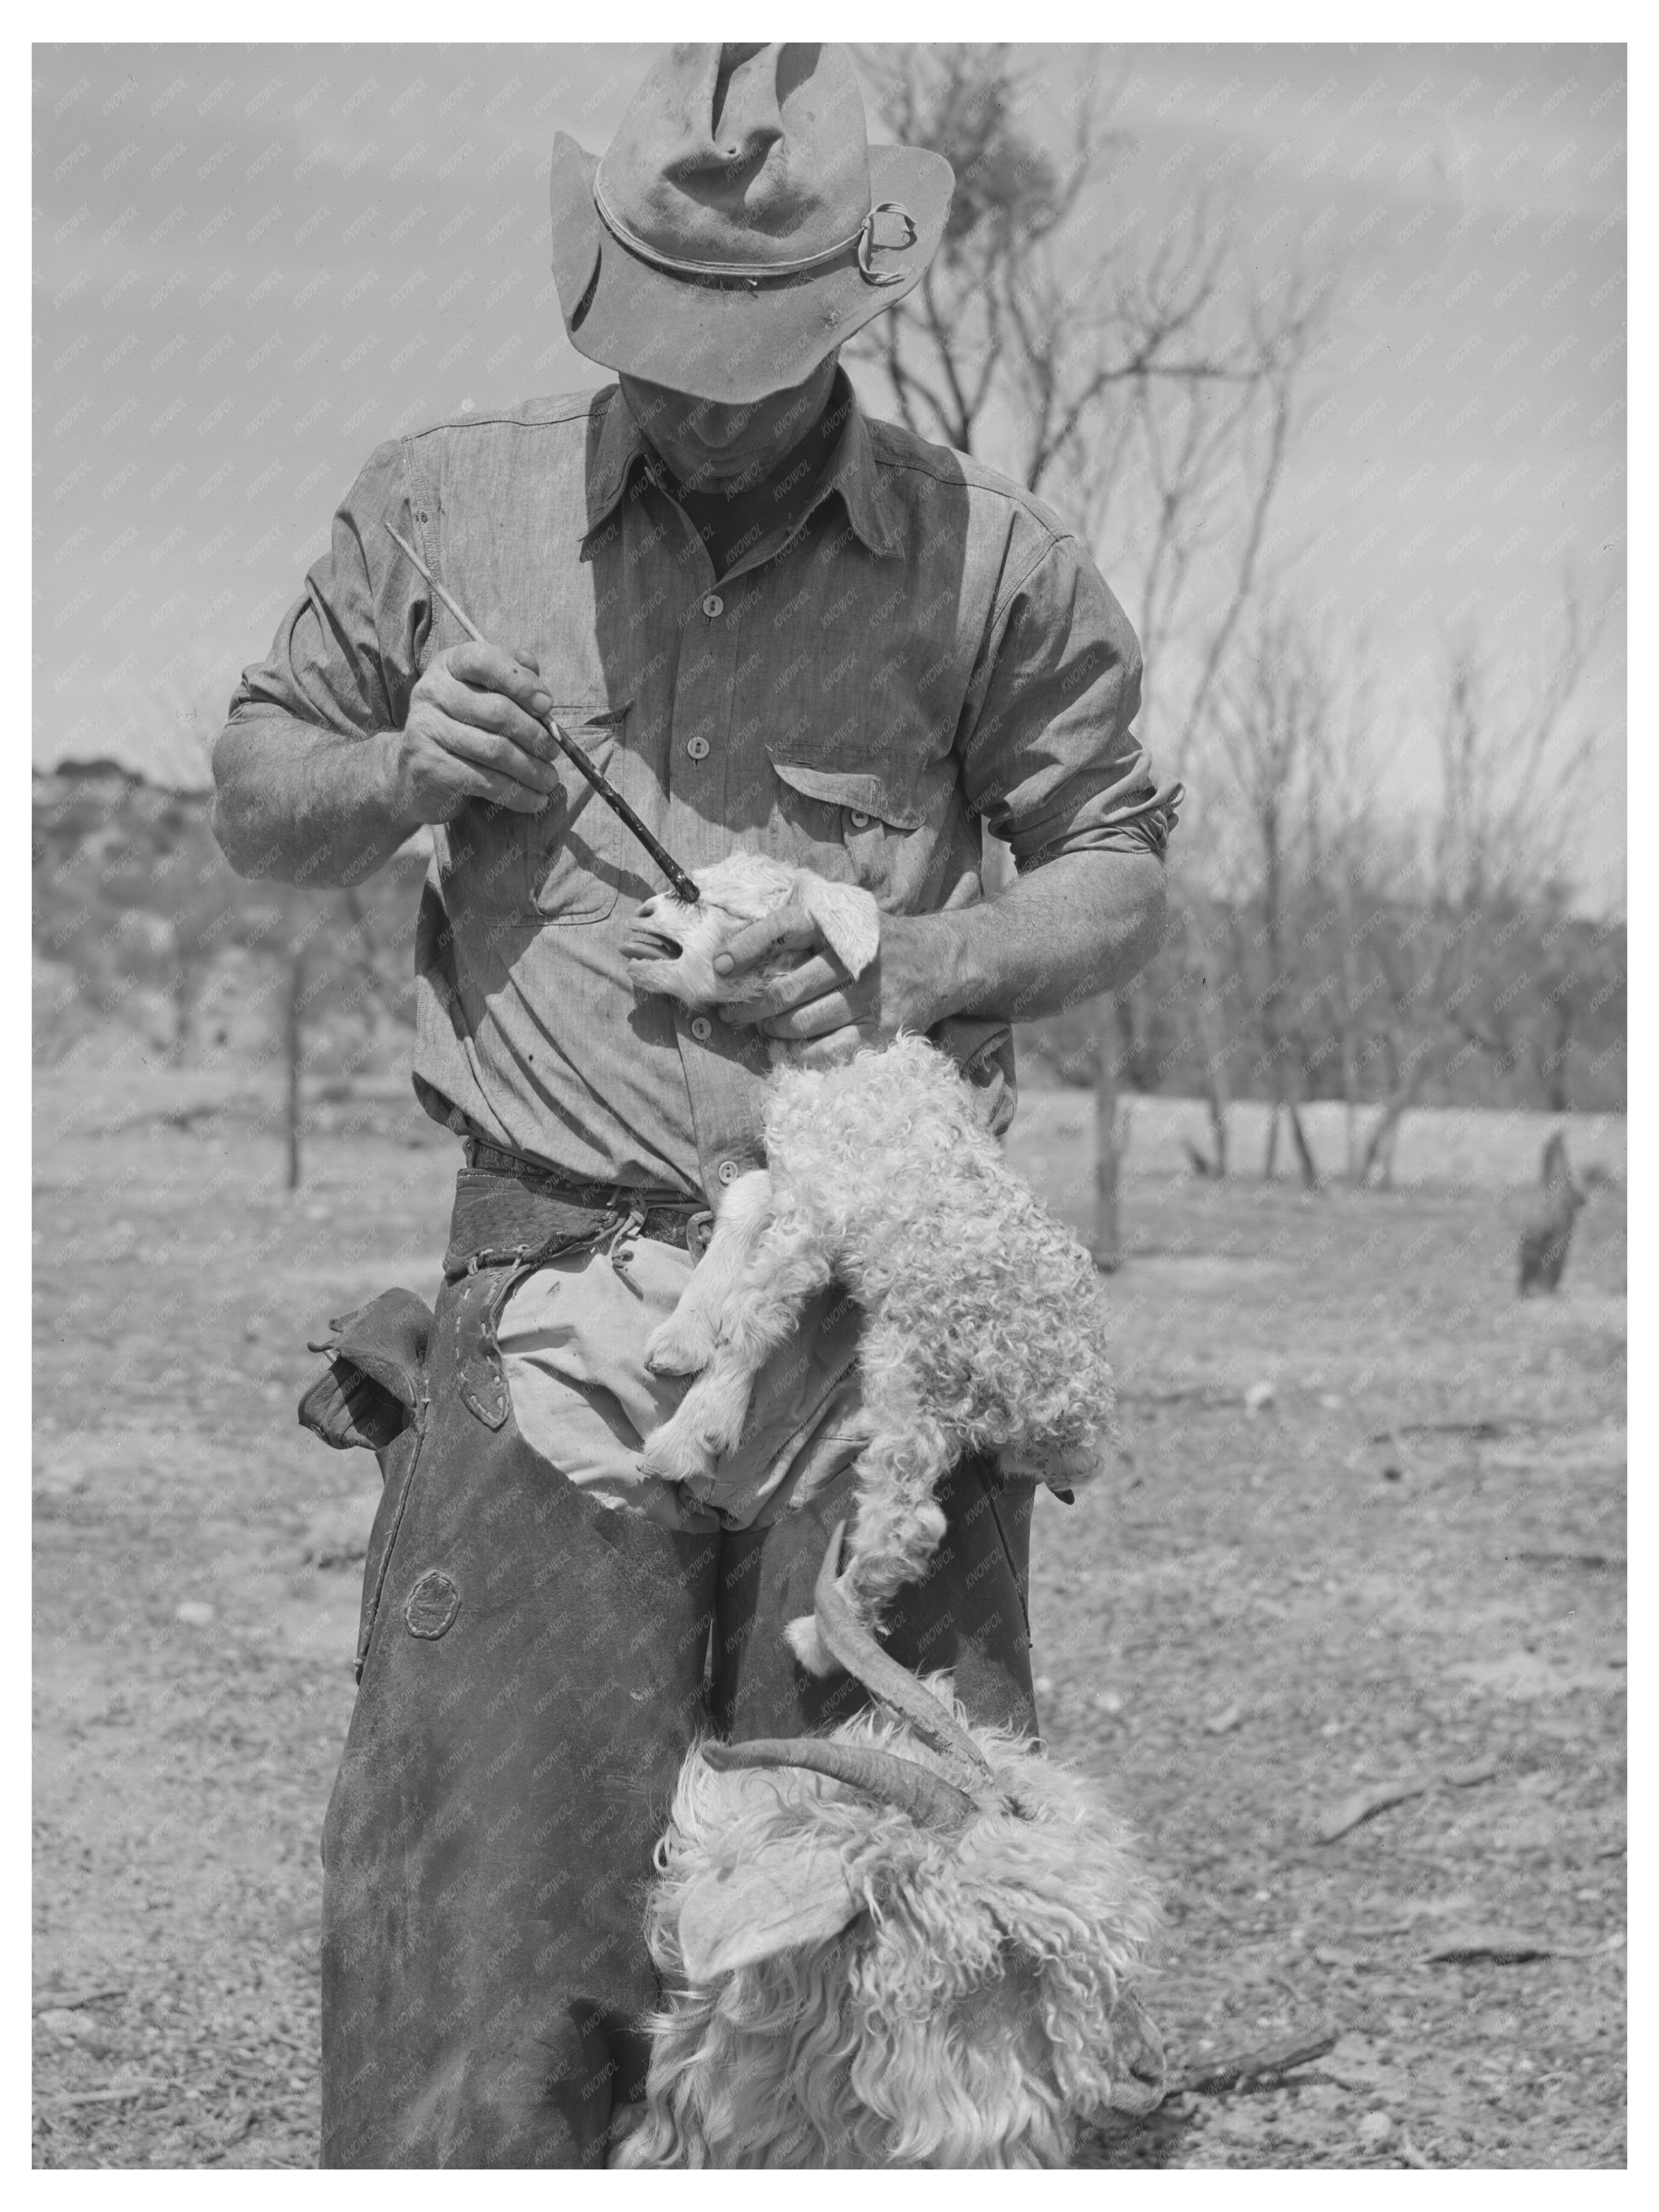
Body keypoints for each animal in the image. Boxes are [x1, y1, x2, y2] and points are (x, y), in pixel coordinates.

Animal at [624, 854, 1119, 1663]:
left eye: (706, 900)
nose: (640, 909)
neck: (839, 1063)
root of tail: (1074, 1419)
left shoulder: (817, 1222)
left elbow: (752, 1323)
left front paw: (691, 1433)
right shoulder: (801, 1178)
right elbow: (746, 1197)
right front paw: (682, 1334)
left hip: (914, 1371)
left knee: (908, 1521)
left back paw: (820, 1640)